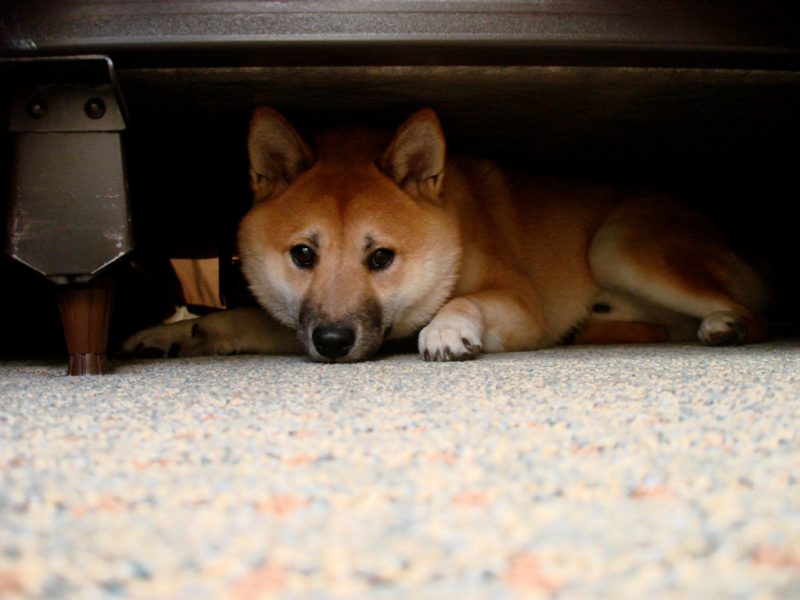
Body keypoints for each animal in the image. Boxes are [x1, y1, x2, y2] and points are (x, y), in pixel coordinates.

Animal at [123, 105, 768, 364]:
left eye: (381, 257)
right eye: (303, 254)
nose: (331, 342)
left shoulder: (522, 303)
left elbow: (462, 302)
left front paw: (447, 328)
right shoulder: (300, 320)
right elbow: (233, 319)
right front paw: (169, 333)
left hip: (616, 246)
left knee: (756, 311)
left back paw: (727, 326)